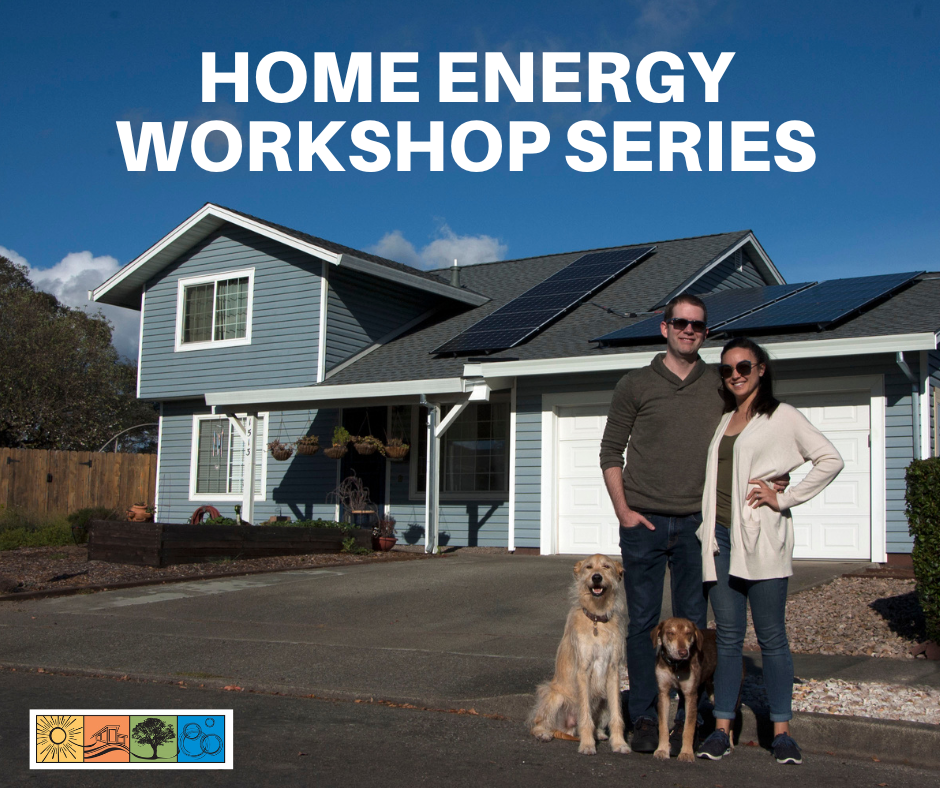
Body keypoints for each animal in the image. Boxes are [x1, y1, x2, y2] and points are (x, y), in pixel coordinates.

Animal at [528, 552, 632, 756]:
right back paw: (544, 733)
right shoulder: (584, 670)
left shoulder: (613, 670)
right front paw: (587, 745)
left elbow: (617, 716)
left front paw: (619, 743)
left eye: (606, 566)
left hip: (603, 700)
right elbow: (585, 717)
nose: (596, 577)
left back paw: (599, 733)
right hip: (554, 695)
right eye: (589, 567)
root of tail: (567, 728)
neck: (597, 619)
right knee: (539, 723)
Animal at [648, 620, 716, 760]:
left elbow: (688, 728)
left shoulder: (690, 695)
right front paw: (662, 750)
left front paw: (686, 753)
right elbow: (663, 726)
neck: (675, 666)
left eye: (688, 633)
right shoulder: (663, 692)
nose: (683, 652)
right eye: (670, 633)